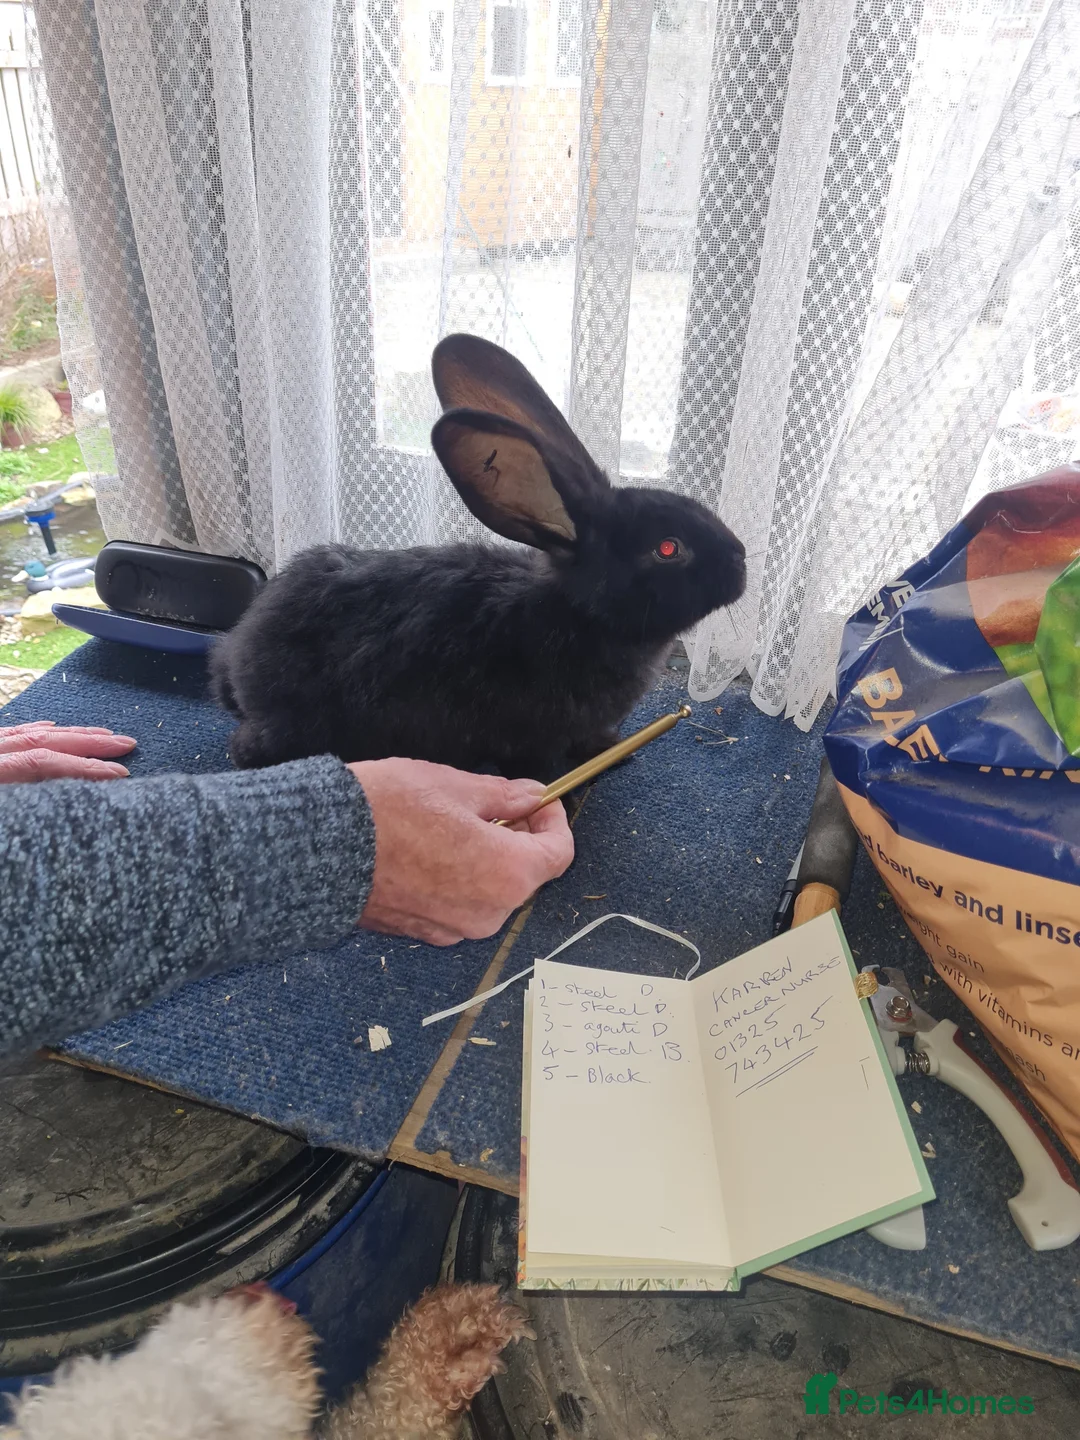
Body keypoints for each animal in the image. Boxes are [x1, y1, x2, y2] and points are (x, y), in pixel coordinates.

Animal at [210, 333, 746, 781]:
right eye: (667, 548)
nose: (740, 561)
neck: (580, 614)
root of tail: (240, 654)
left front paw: (614, 752)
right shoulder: (528, 733)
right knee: (247, 749)